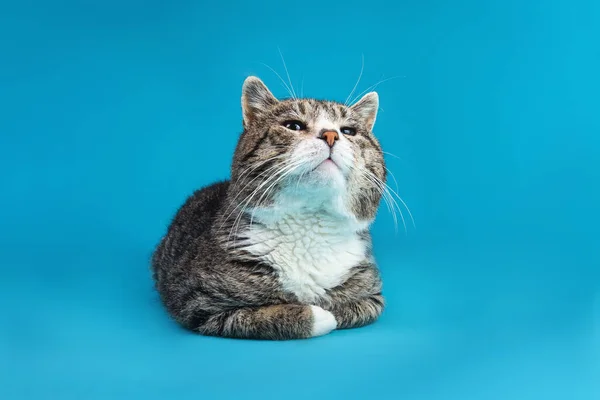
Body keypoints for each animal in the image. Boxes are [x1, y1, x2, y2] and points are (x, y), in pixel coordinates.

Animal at [150, 76, 386, 340]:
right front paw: (316, 314)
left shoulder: (373, 295)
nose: (331, 135)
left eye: (348, 131)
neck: (307, 225)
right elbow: (262, 315)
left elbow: (350, 307)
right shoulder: (197, 302)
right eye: (293, 125)